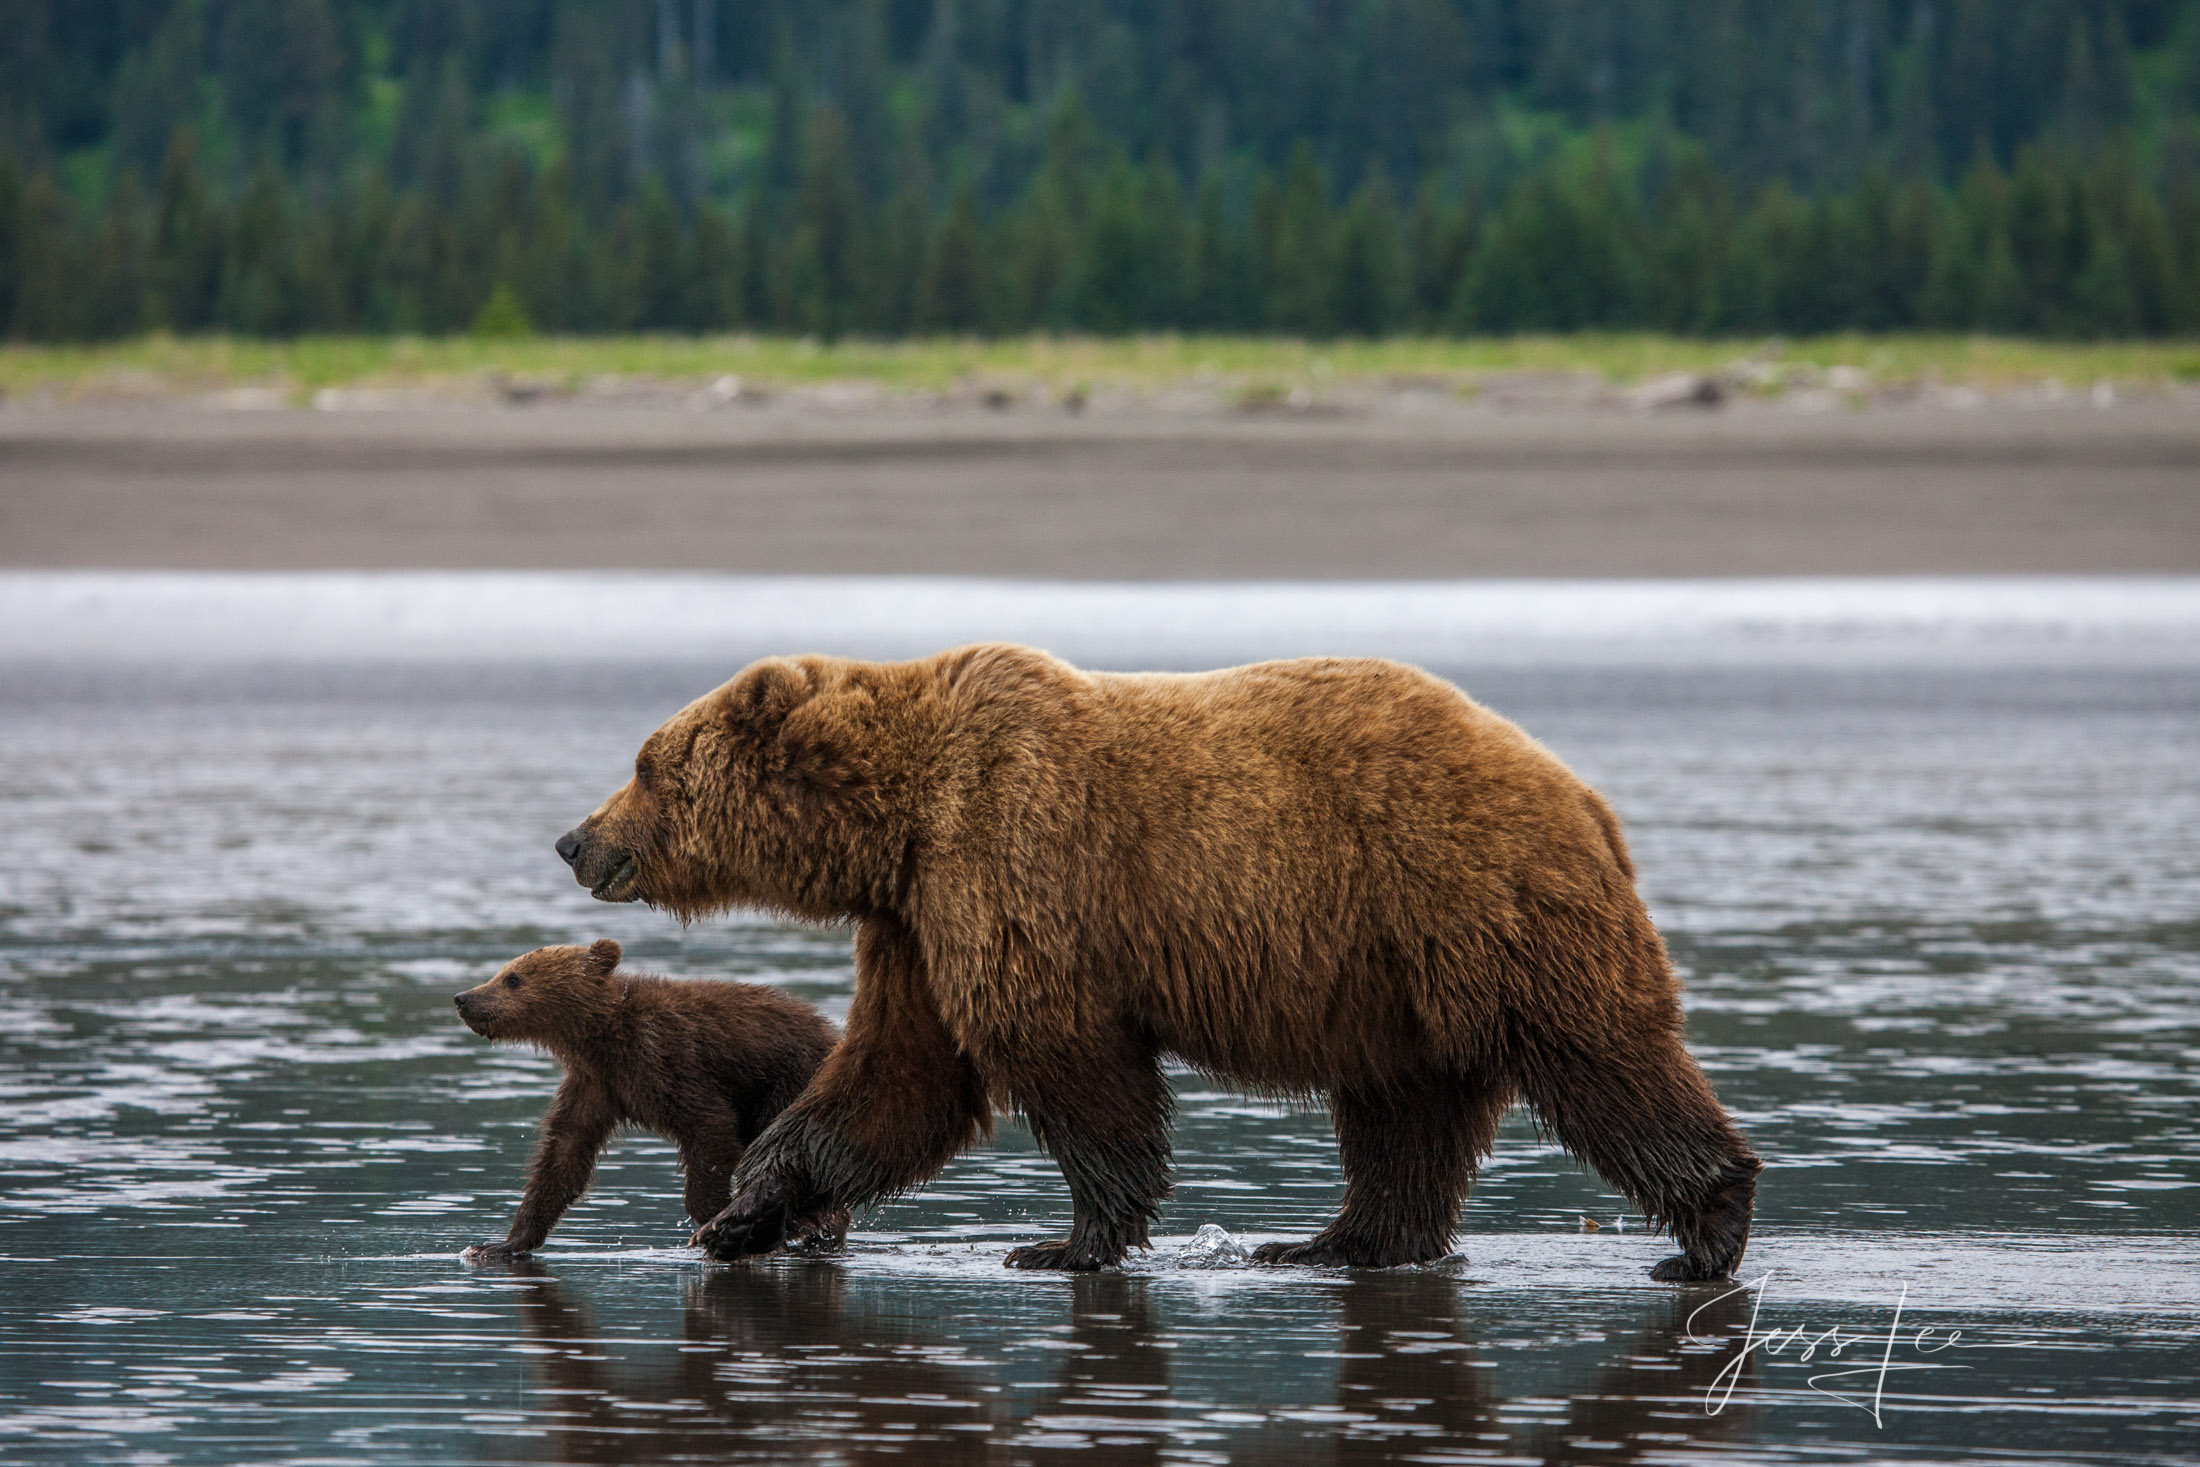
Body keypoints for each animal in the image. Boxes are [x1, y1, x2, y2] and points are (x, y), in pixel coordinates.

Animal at [558, 646, 1760, 1275]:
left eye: (648, 764)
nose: (576, 838)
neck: (894, 819)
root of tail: (1579, 790)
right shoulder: (915, 919)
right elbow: (897, 1079)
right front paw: (741, 1214)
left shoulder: (1011, 858)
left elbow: (1065, 1060)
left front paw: (1068, 1241)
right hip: (1398, 977)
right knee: (1405, 1109)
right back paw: (1338, 1241)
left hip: (1470, 896)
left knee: (1595, 1054)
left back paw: (1706, 1226)